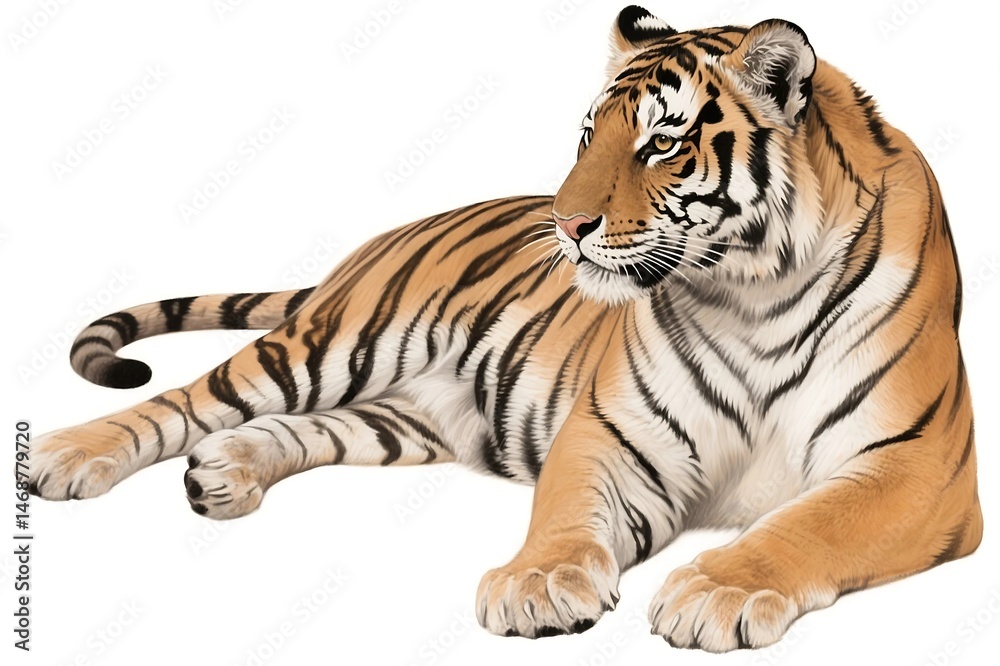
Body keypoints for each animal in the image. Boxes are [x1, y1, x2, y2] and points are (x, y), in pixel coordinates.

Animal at [24, 6, 980, 652]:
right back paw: (66, 455)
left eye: (661, 145)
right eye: (589, 135)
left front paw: (715, 590)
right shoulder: (612, 432)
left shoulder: (918, 464)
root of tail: (377, 242)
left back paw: (224, 472)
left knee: (299, 428)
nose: (565, 225)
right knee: (189, 399)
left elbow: (809, 524)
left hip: (402, 415)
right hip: (335, 342)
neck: (748, 291)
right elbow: (566, 510)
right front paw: (539, 582)